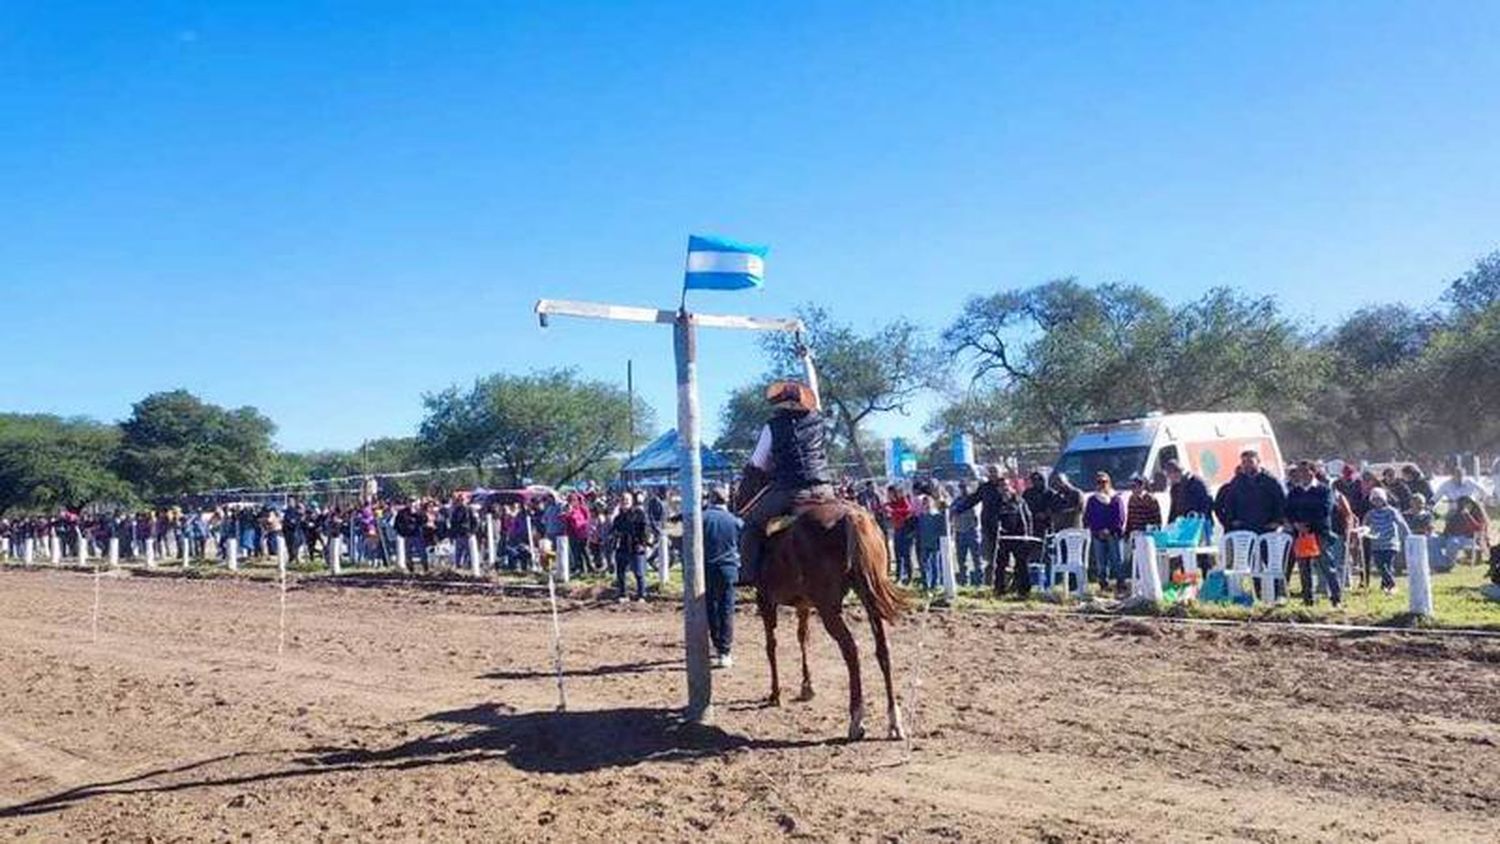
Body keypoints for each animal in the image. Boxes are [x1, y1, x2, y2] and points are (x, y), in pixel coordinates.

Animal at [729, 467, 900, 740]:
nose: (737, 503)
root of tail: (851, 517)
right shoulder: (804, 605)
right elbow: (803, 637)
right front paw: (807, 686)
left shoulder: (765, 599)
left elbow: (771, 645)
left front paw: (775, 693)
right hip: (869, 598)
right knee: (882, 649)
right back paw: (894, 721)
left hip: (829, 608)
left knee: (851, 650)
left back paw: (856, 719)